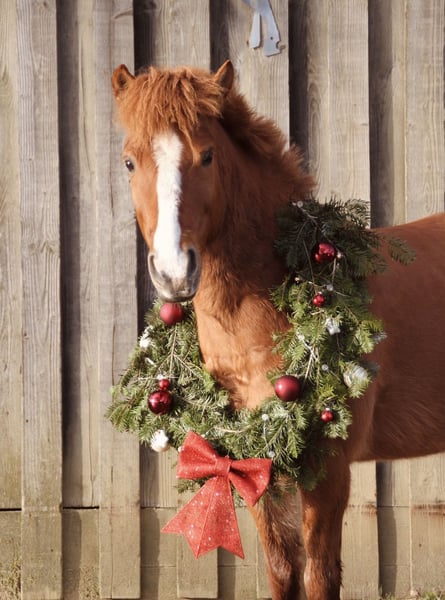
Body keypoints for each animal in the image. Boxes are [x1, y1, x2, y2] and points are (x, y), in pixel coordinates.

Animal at [111, 60, 445, 600]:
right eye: (129, 162)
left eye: (207, 156)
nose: (174, 272)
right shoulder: (254, 460)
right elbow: (283, 570)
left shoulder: (326, 472)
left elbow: (318, 576)